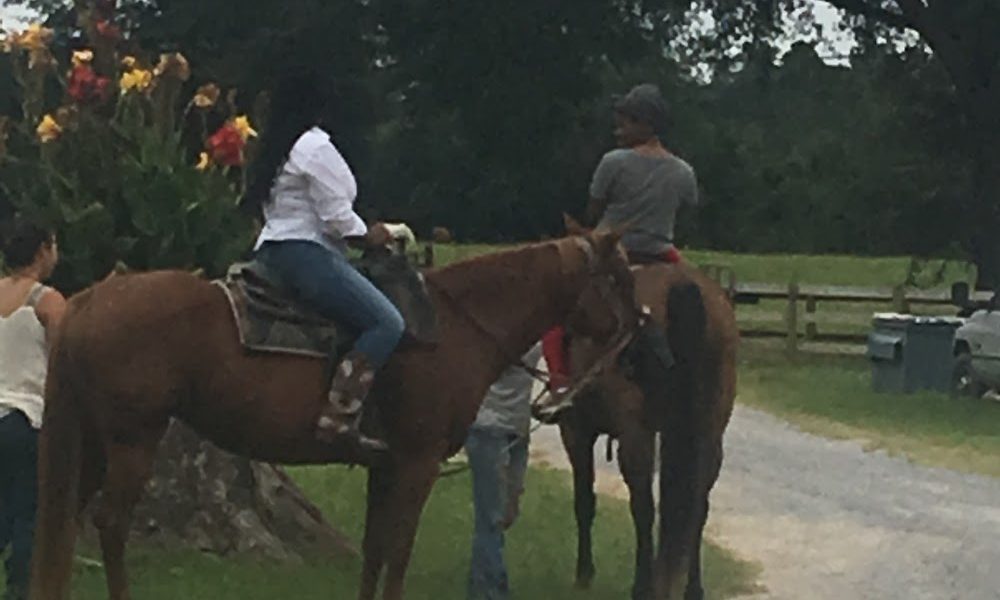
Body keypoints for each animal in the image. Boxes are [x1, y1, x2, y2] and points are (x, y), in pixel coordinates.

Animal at [31, 231, 640, 600]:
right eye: (620, 277)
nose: (637, 333)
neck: (457, 327)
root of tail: (90, 299)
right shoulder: (416, 464)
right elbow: (399, 551)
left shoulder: (384, 466)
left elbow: (374, 550)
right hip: (133, 439)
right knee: (110, 523)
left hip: (93, 442)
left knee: (66, 523)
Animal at [560, 262, 740, 600]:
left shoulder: (575, 431)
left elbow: (584, 500)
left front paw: (583, 573)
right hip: (710, 435)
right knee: (697, 507)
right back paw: (692, 588)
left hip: (636, 435)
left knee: (643, 507)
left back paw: (643, 586)